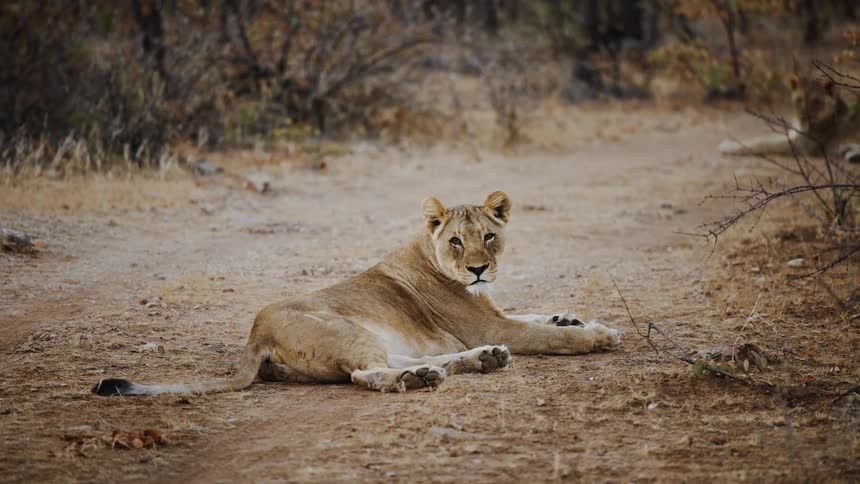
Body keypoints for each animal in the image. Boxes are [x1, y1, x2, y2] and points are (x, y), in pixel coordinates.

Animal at [93, 191, 621, 395]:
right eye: (456, 240)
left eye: (488, 236)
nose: (477, 269)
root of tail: (254, 335)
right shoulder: (488, 321)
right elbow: (547, 336)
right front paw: (597, 335)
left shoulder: (495, 315)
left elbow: (537, 315)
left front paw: (572, 316)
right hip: (347, 330)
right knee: (367, 374)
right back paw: (425, 378)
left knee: (402, 361)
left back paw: (478, 360)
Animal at [719, 74, 859, 160]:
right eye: (799, 99)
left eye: (816, 102)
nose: (803, 117)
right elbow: (764, 139)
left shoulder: (799, 144)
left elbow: (763, 142)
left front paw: (726, 145)